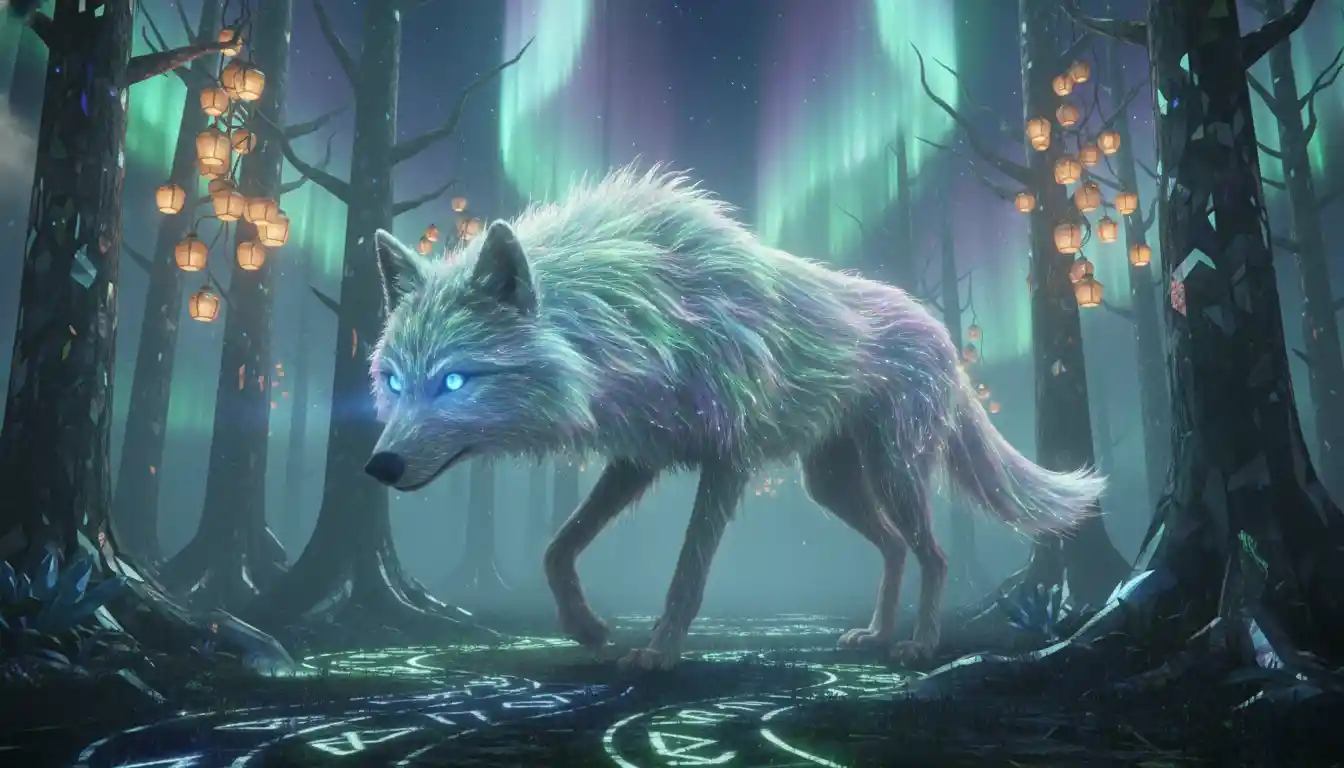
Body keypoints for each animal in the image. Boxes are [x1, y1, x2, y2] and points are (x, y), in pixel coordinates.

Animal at [364, 166, 1103, 669]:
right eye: (395, 381)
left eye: (454, 380)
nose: (378, 465)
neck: (633, 313)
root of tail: (942, 333)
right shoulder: (640, 457)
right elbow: (557, 548)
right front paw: (587, 629)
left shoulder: (726, 461)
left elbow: (687, 575)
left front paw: (659, 653)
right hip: (829, 485)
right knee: (895, 546)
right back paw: (875, 634)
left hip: (894, 472)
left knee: (935, 553)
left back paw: (918, 645)